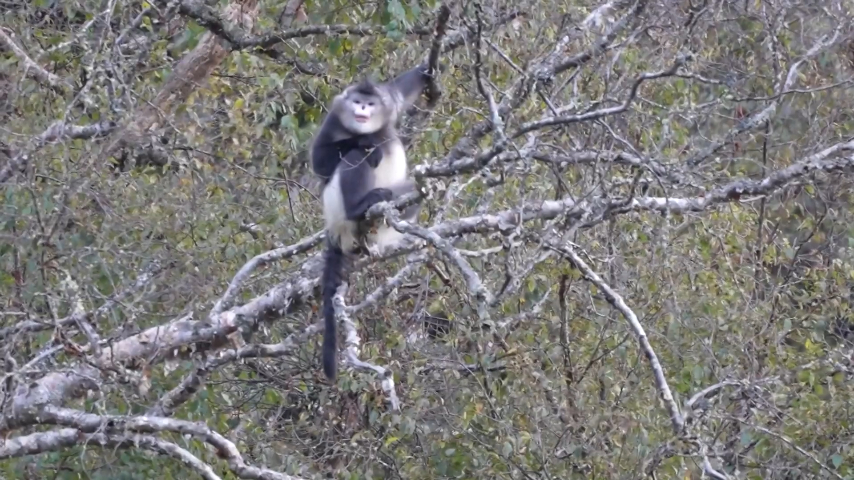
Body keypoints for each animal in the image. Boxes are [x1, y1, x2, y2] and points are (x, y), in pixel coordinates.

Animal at [312, 63, 434, 381]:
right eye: (356, 101)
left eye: (369, 103)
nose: (361, 109)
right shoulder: (333, 118)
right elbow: (320, 162)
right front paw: (364, 140)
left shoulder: (388, 103)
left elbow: (401, 92)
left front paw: (424, 70)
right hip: (337, 210)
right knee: (357, 157)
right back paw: (360, 205)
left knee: (413, 191)